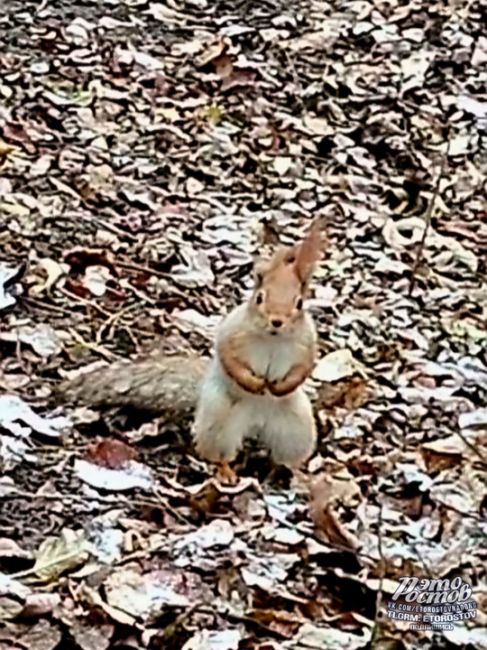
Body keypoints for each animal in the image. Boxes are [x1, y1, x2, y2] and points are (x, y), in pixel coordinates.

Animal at [58, 218, 324, 470]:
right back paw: (225, 471)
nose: (277, 321)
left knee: (288, 456)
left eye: (299, 303)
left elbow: (305, 367)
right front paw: (253, 382)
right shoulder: (232, 332)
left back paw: (293, 472)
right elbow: (229, 358)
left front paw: (282, 385)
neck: (272, 339)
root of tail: (256, 423)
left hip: (295, 428)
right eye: (259, 298)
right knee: (219, 452)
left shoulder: (307, 342)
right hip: (219, 419)